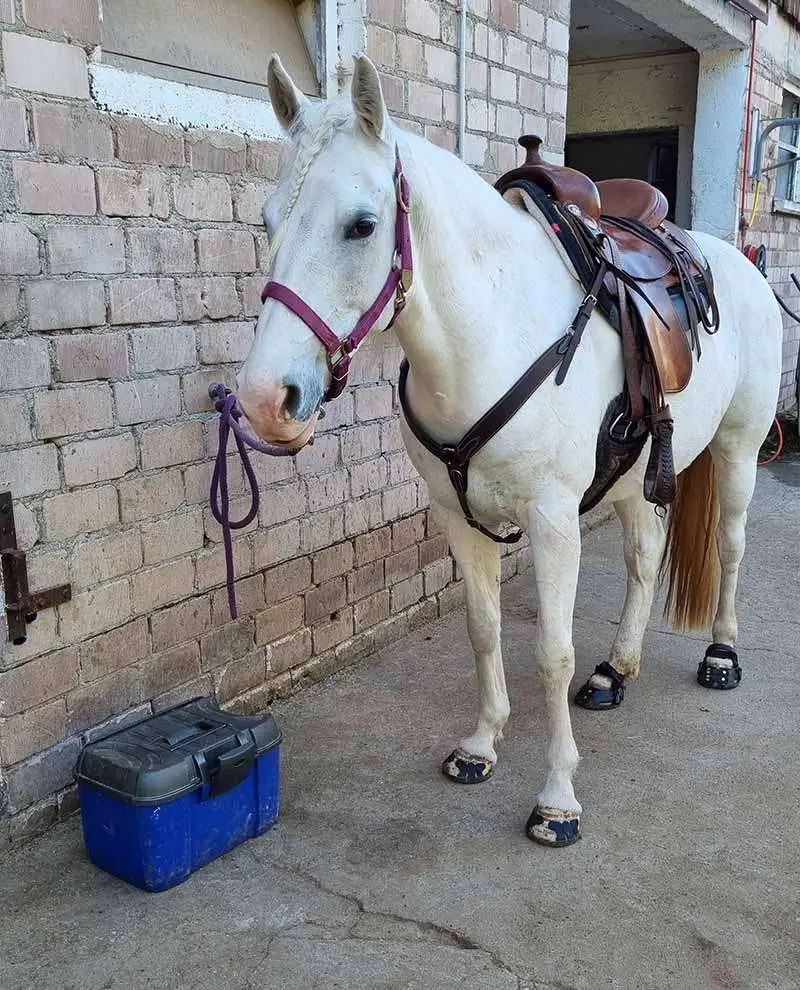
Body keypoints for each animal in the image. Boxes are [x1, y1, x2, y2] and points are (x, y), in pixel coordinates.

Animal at [234, 53, 783, 846]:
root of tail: (734, 260)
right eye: (269, 219)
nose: (261, 400)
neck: (492, 331)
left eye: (362, 225)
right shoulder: (457, 517)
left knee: (733, 546)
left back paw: (721, 654)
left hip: (739, 450)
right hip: (635, 479)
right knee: (645, 559)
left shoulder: (553, 521)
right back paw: (615, 670)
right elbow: (484, 627)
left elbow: (552, 653)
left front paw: (557, 799)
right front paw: (482, 743)